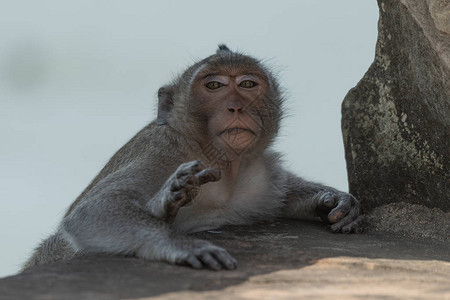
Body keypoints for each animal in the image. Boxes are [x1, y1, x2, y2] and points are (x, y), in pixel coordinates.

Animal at [22, 44, 364, 272]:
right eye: (214, 85)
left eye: (247, 84)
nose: (236, 107)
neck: (221, 161)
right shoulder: (163, 151)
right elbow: (90, 212)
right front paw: (179, 245)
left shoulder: (262, 176)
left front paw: (331, 201)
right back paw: (165, 204)